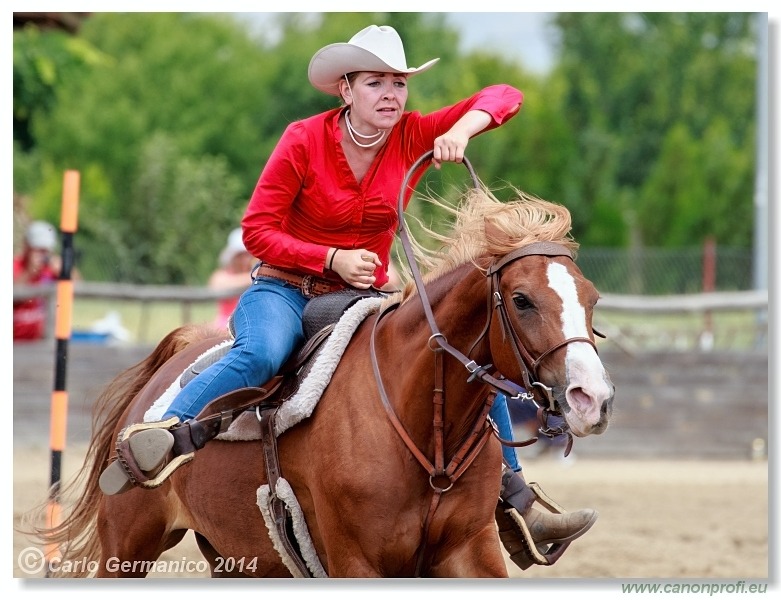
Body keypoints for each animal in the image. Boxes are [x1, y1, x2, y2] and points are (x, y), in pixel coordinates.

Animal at [38, 186, 616, 576]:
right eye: (521, 299)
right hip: (128, 547)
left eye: (593, 299)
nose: (593, 399)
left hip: (240, 558)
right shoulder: (355, 559)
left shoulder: (469, 552)